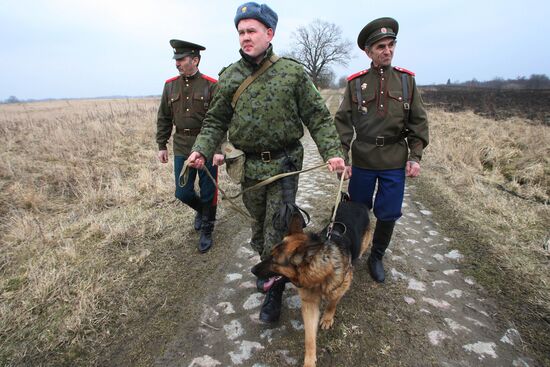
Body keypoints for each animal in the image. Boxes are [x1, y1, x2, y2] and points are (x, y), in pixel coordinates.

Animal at [252, 201, 374, 367]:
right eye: (269, 254)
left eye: (275, 262)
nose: (252, 270)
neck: (319, 275)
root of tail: (354, 202)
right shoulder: (309, 304)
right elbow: (309, 337)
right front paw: (309, 361)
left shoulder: (342, 286)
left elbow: (332, 303)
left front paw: (327, 318)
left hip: (364, 242)